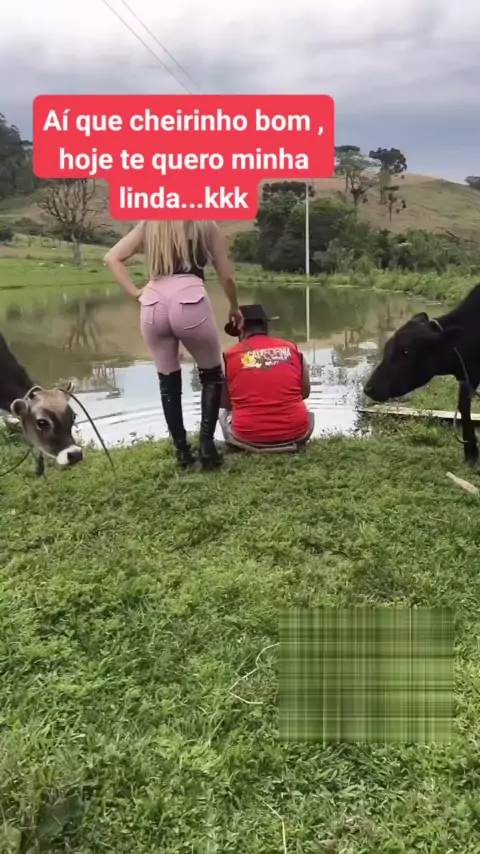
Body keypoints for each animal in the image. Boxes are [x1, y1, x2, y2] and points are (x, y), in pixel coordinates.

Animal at [363, 283, 480, 467]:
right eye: (387, 347)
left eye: (406, 351)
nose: (369, 388)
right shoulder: (468, 378)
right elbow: (463, 407)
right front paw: (471, 453)